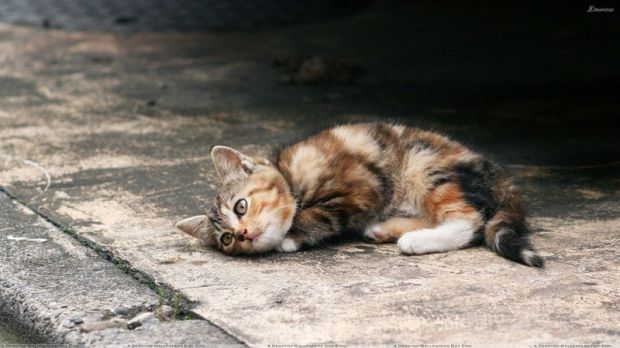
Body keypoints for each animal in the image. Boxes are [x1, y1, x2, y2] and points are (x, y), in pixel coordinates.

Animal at [174, 122, 544, 266]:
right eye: (226, 240)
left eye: (241, 206)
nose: (243, 234)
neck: (290, 174)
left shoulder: (362, 184)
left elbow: (321, 213)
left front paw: (289, 237)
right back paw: (386, 229)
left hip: (423, 164)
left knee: (470, 220)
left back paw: (416, 240)